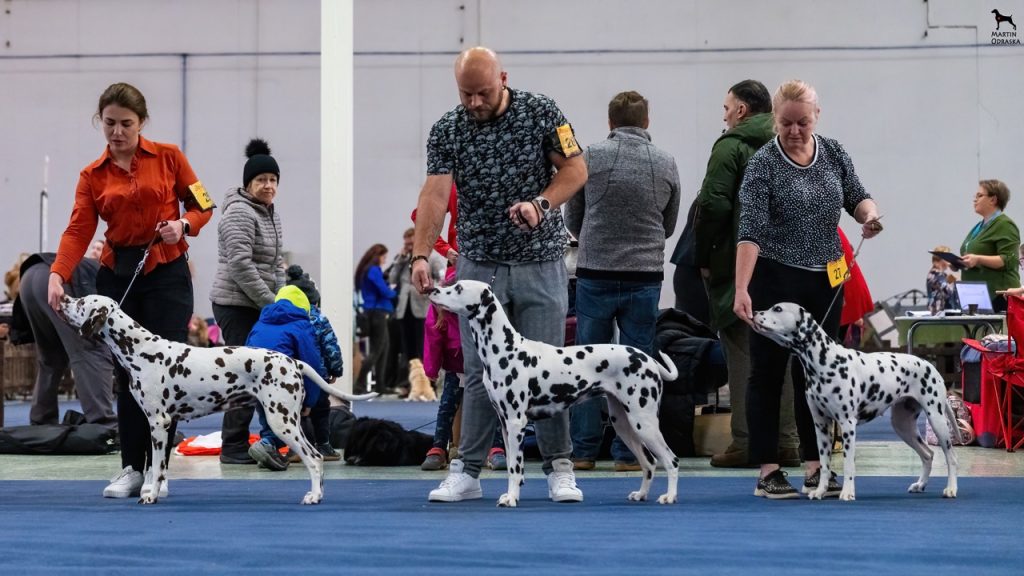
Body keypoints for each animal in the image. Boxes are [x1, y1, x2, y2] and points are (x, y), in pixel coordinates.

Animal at [60, 294, 376, 505]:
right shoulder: (156, 423)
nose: (62, 298)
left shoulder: (159, 424)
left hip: (282, 421)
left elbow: (158, 467)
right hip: (287, 421)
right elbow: (156, 467)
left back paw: (313, 496)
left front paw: (150, 496)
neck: (140, 350)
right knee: (316, 457)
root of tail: (293, 362)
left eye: (81, 302)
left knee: (314, 457)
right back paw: (317, 493)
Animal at [428, 280, 680, 507]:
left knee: (671, 460)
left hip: (644, 422)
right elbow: (511, 466)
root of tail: (648, 359)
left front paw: (511, 498)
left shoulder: (516, 423)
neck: (506, 350)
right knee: (649, 462)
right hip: (624, 424)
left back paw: (669, 497)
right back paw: (641, 494)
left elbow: (515, 468)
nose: (432, 289)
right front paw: (511, 494)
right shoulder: (504, 424)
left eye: (458, 288)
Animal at [751, 302, 958, 501]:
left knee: (951, 458)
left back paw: (951, 489)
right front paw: (820, 491)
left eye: (778, 308)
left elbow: (849, 465)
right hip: (903, 425)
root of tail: (930, 365)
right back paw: (920, 484)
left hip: (937, 421)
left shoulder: (847, 424)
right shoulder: (821, 426)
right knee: (928, 454)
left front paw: (847, 493)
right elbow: (824, 466)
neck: (824, 362)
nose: (753, 312)